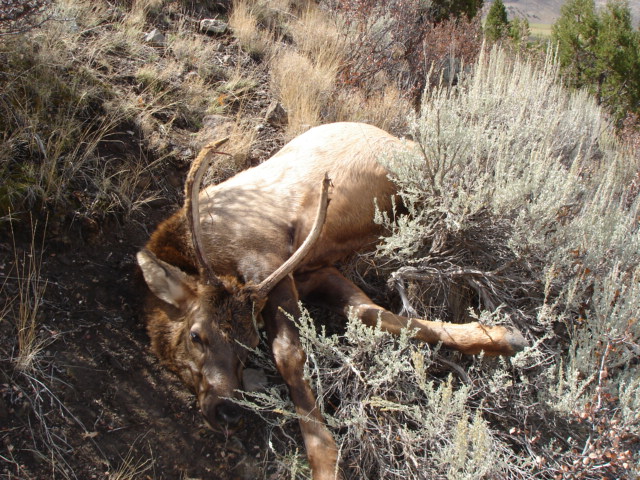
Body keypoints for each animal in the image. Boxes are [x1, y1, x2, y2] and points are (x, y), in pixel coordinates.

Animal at [138, 123, 528, 480]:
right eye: (196, 335)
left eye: (249, 344)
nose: (229, 412)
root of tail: (402, 139)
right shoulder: (310, 274)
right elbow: (376, 313)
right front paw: (498, 336)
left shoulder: (266, 259)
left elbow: (290, 353)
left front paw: (325, 461)